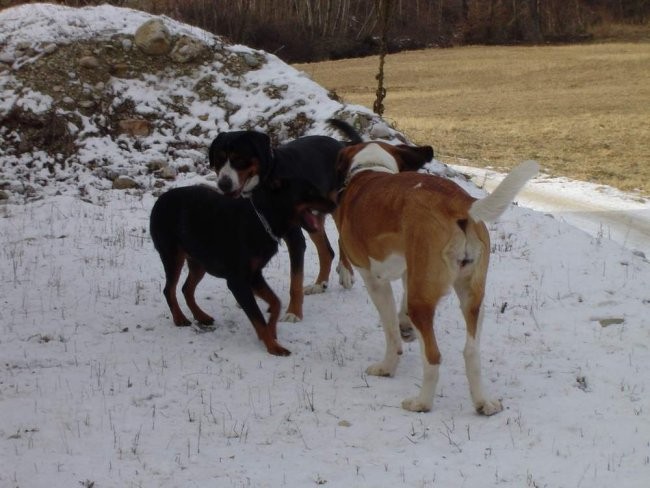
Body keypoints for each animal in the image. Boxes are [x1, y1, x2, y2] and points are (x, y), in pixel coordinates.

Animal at [151, 178, 334, 354]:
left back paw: (201, 316)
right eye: (309, 192)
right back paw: (180, 318)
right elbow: (257, 317)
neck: (262, 219)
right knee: (169, 289)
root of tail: (158, 202)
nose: (334, 203)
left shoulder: (254, 276)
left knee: (186, 288)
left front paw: (271, 330)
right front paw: (273, 347)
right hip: (172, 255)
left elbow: (275, 302)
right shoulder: (238, 281)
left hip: (198, 261)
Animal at [206, 120, 360, 322]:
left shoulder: (294, 239)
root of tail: (340, 144)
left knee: (342, 239)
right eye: (219, 159)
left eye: (239, 159)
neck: (264, 186)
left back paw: (345, 272)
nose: (224, 184)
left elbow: (295, 282)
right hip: (311, 218)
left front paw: (294, 313)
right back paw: (319, 284)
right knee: (327, 251)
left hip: (336, 206)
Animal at [332, 141, 536, 412]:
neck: (371, 168)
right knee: (471, 352)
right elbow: (401, 308)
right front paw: (405, 326)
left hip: (423, 303)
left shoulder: (374, 280)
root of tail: (460, 203)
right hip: (471, 297)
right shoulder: (411, 272)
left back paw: (421, 403)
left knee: (433, 356)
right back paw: (483, 402)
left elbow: (390, 330)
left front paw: (387, 366)